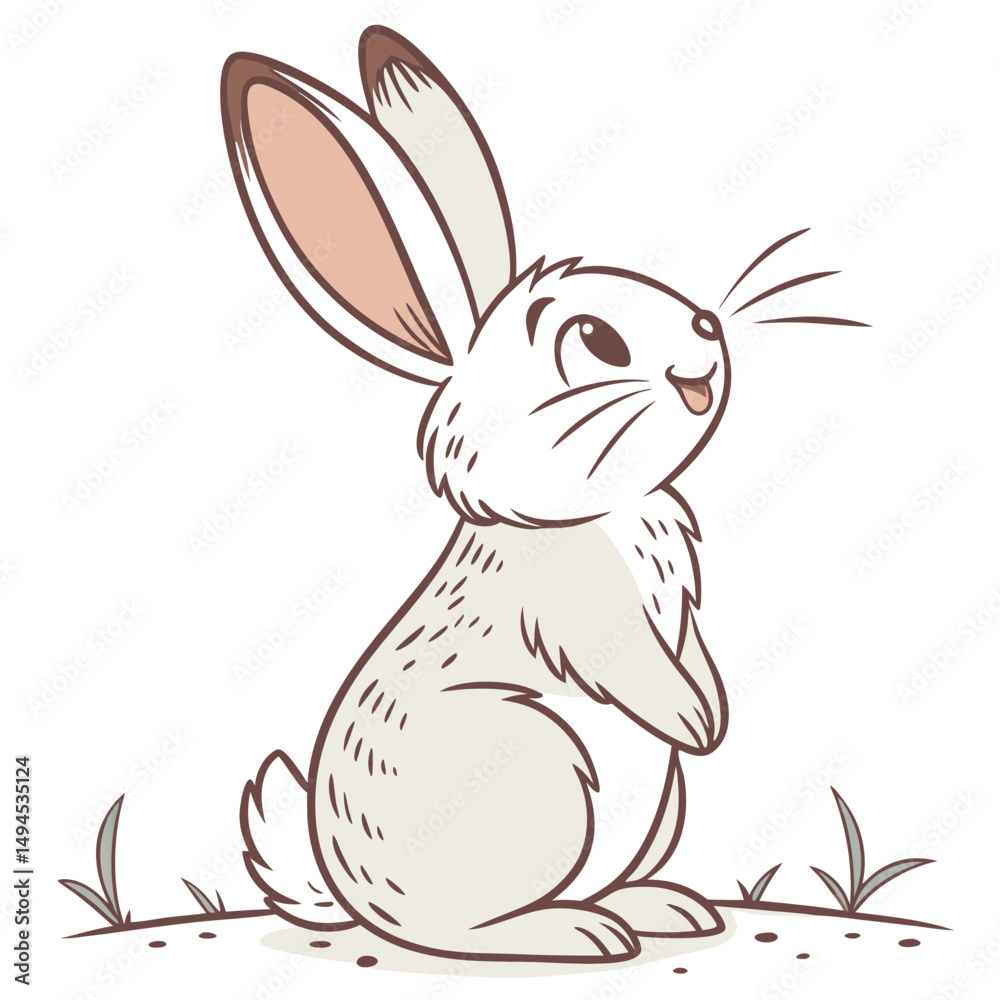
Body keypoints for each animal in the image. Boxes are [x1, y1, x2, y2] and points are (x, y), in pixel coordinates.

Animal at [223, 26, 734, 964]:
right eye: (596, 338)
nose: (709, 327)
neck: (594, 507)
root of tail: (350, 897)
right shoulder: (583, 614)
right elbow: (636, 670)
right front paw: (699, 722)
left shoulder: (679, 615)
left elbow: (696, 658)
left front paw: (715, 714)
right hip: (537, 758)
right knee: (461, 930)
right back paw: (579, 932)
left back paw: (662, 909)